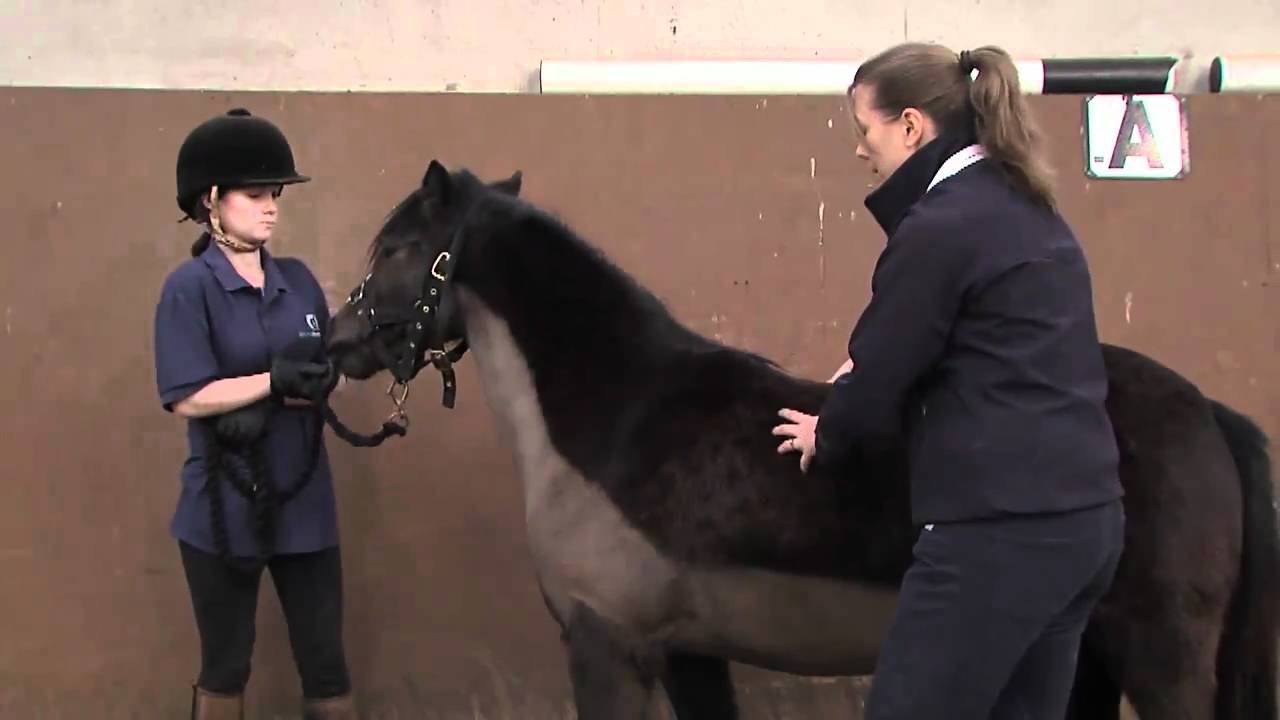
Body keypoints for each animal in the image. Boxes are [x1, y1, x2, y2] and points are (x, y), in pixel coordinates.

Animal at [324, 159, 1279, 720]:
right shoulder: (690, 653)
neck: (615, 419)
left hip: (1160, 658)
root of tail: (1207, 412)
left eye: (398, 249)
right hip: (1084, 657)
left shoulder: (607, 646)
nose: (336, 344)